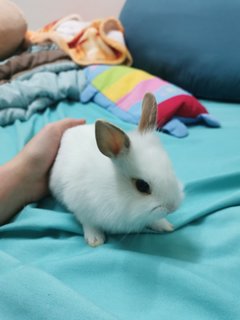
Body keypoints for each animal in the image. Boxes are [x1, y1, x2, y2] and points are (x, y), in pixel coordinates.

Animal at [49, 92, 184, 248]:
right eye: (142, 186)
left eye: (170, 167)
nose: (172, 207)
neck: (114, 188)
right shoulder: (80, 205)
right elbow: (88, 223)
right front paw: (95, 239)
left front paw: (165, 225)